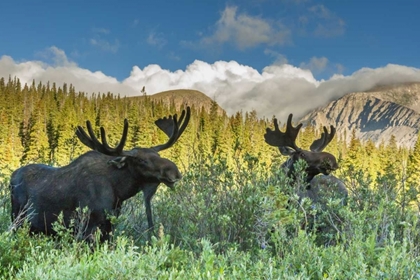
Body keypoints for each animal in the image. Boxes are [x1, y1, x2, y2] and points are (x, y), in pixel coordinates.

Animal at [10, 106, 190, 241]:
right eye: (141, 161)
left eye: (157, 155)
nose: (175, 172)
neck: (119, 191)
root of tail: (12, 176)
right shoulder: (88, 227)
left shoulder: (109, 225)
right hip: (17, 219)